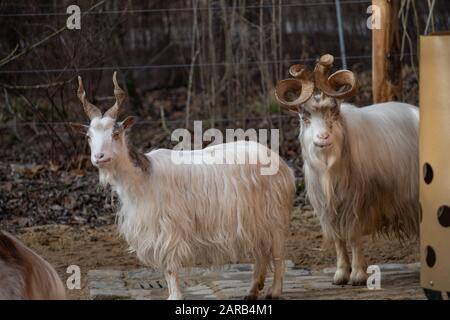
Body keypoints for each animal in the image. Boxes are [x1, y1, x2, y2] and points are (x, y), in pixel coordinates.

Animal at [71, 73, 296, 300]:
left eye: (115, 134)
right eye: (88, 137)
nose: (98, 157)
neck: (142, 180)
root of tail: (282, 164)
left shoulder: (169, 228)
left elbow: (170, 266)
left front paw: (175, 296)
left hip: (274, 217)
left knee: (278, 254)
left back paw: (274, 291)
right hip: (254, 220)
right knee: (261, 253)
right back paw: (252, 290)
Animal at [276, 53, 420, 286]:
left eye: (334, 111)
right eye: (305, 117)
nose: (323, 138)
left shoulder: (357, 203)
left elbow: (353, 237)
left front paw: (358, 275)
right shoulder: (328, 208)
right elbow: (338, 240)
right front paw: (341, 274)